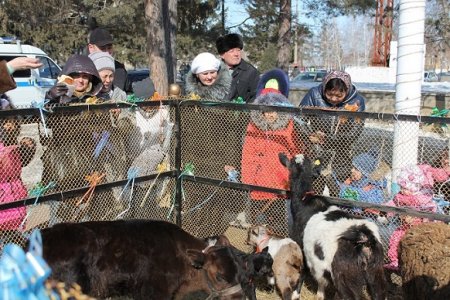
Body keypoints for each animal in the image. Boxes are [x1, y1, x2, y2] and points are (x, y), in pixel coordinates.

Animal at [278, 154, 386, 300]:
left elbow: (302, 271)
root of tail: (365, 237)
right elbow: (321, 282)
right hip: (376, 273)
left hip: (344, 277)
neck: (304, 200)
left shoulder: (300, 246)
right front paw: (319, 294)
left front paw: (295, 294)